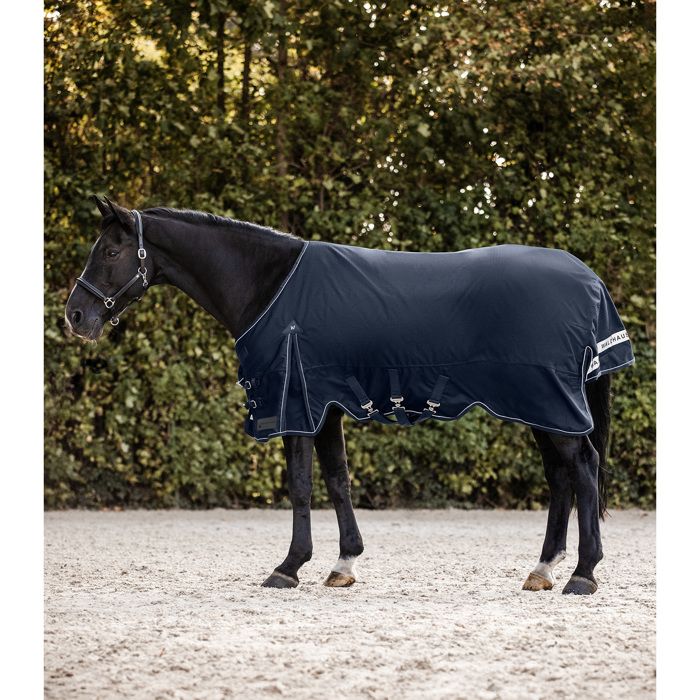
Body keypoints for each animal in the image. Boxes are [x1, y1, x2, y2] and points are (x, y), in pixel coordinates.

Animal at [64, 196, 634, 595]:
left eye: (111, 251)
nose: (75, 316)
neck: (270, 286)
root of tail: (589, 280)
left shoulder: (295, 405)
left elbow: (300, 486)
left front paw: (289, 566)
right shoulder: (325, 408)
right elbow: (337, 481)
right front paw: (343, 563)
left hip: (550, 401)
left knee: (584, 469)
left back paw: (583, 573)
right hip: (543, 408)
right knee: (561, 477)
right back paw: (543, 569)